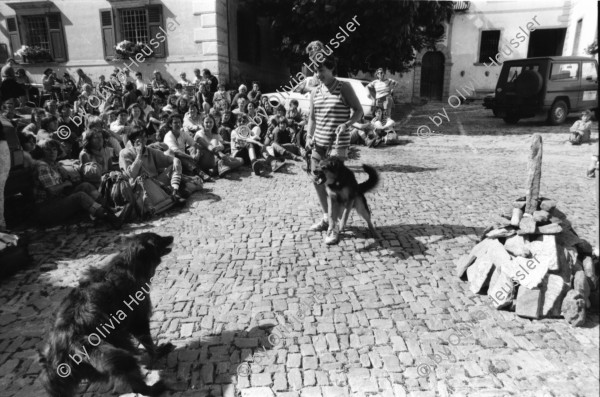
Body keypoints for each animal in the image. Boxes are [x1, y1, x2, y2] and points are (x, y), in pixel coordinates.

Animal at [39, 232, 173, 396]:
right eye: (158, 239)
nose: (171, 237)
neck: (129, 266)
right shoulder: (138, 320)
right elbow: (149, 343)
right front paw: (159, 351)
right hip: (116, 356)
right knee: (136, 384)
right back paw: (156, 388)